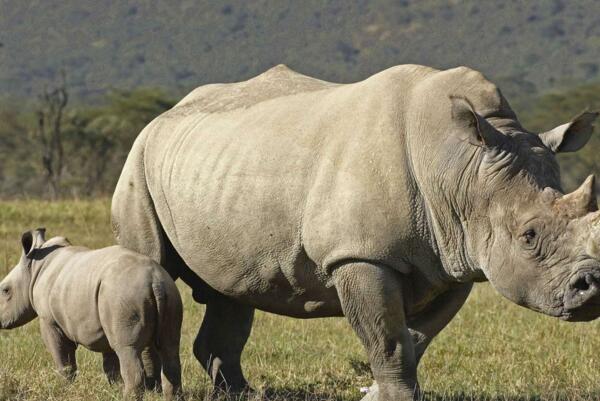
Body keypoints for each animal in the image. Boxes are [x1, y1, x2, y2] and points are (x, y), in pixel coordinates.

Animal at [0, 230, 182, 398]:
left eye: (5, 290)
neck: (34, 269)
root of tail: (154, 280)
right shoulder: (105, 321)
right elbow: (110, 365)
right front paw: (114, 391)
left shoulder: (50, 321)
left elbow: (63, 360)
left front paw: (63, 390)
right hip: (168, 293)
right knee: (170, 349)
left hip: (125, 295)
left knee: (127, 349)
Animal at [112, 64, 600, 398]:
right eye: (529, 237)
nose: (592, 288)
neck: (460, 170)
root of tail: (167, 114)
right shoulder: (360, 254)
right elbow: (388, 339)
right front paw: (398, 398)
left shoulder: (456, 257)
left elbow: (416, 337)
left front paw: (377, 395)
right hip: (138, 161)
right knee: (150, 269)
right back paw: (152, 390)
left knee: (232, 290)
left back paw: (243, 394)